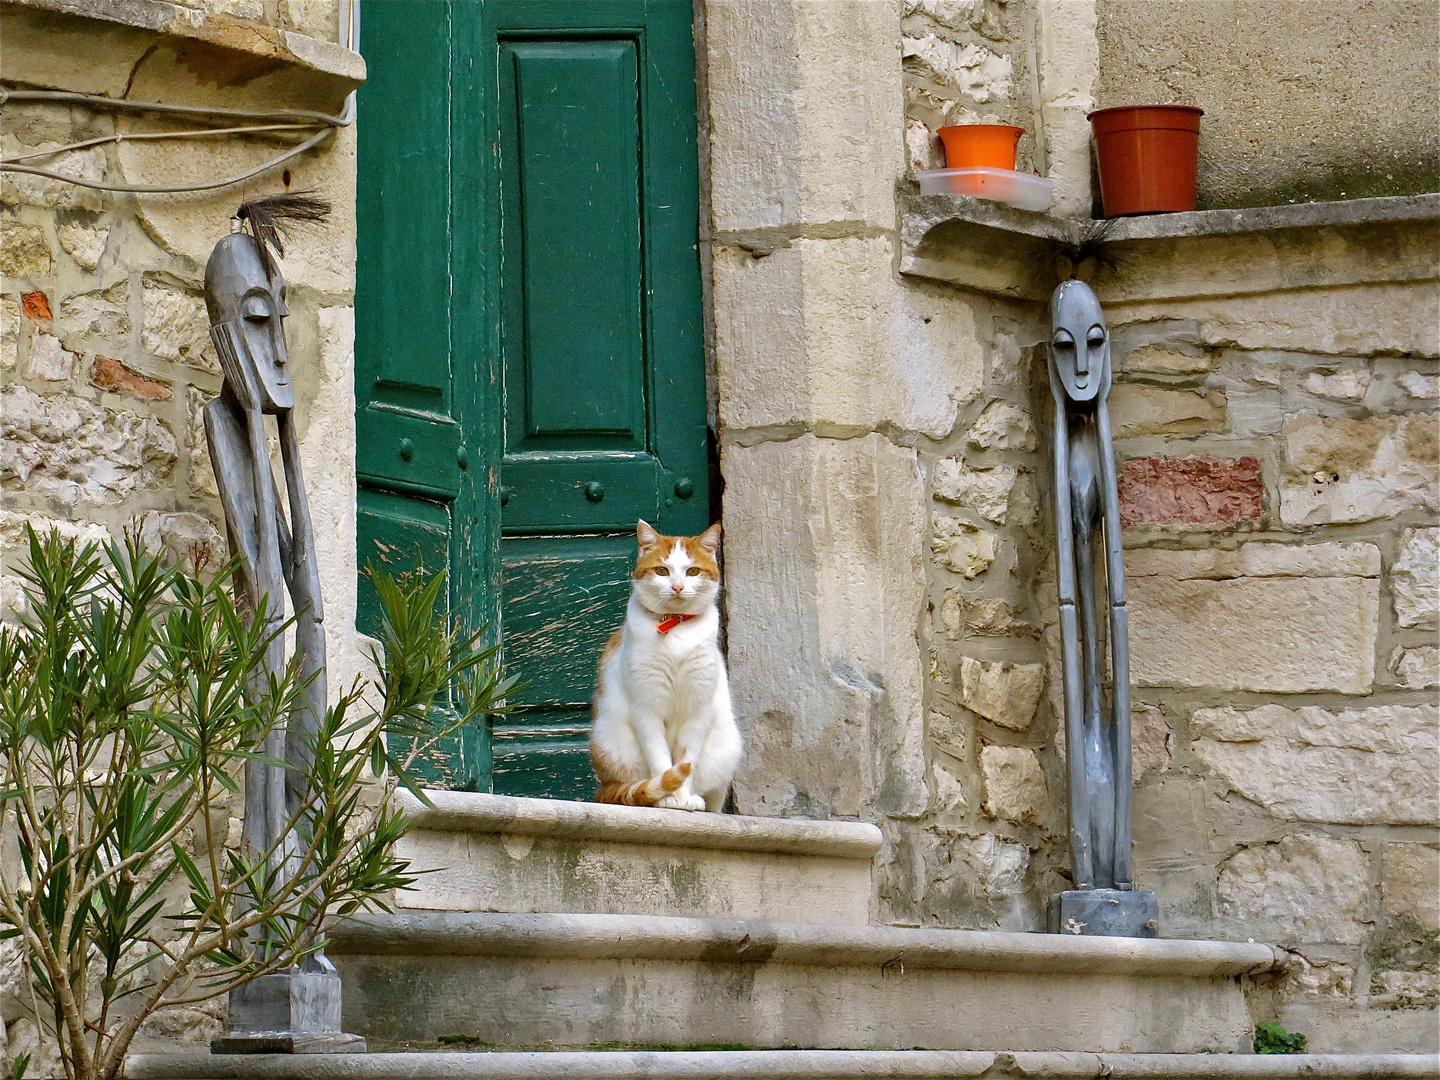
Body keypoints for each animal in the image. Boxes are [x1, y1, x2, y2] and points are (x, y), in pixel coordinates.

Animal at [587, 521, 743, 812]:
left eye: (692, 571)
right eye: (662, 570)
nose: (678, 587)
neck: (675, 626)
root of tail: (604, 787)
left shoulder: (698, 711)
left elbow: (687, 760)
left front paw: (683, 796)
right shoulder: (646, 709)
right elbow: (660, 758)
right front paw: (668, 799)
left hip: (726, 748)